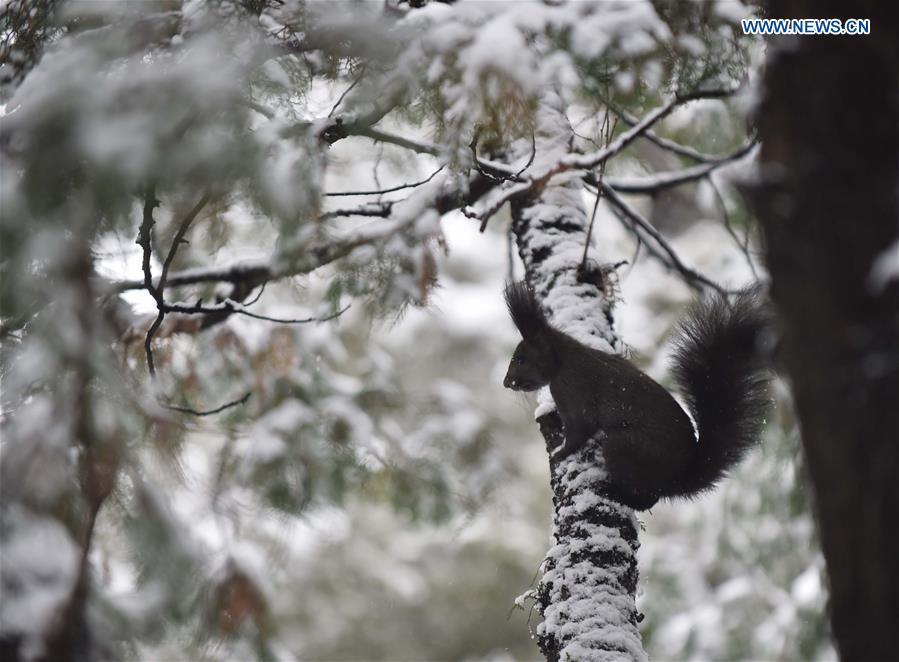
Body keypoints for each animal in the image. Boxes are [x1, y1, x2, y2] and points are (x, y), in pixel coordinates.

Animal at [502, 282, 768, 510]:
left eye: (521, 359)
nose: (506, 383)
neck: (563, 360)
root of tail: (679, 479)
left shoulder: (575, 393)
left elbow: (579, 431)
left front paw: (560, 453)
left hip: (624, 448)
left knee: (647, 499)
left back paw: (616, 494)